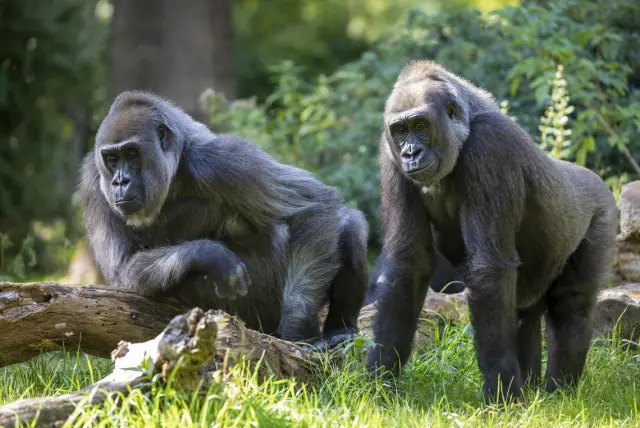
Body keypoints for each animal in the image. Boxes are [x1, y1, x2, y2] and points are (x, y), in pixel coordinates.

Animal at [78, 90, 369, 348]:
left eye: (132, 153)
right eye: (112, 158)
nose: (120, 182)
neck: (175, 165)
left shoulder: (225, 158)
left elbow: (313, 207)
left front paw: (298, 327)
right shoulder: (93, 178)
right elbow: (125, 266)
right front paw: (209, 254)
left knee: (349, 226)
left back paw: (340, 329)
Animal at [366, 60, 617, 403]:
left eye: (420, 125)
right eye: (400, 131)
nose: (410, 153)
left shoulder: (489, 147)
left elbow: (489, 267)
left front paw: (501, 392)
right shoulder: (388, 152)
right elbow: (408, 263)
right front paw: (381, 380)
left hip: (602, 209)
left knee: (572, 304)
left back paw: (559, 392)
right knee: (524, 314)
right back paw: (534, 389)